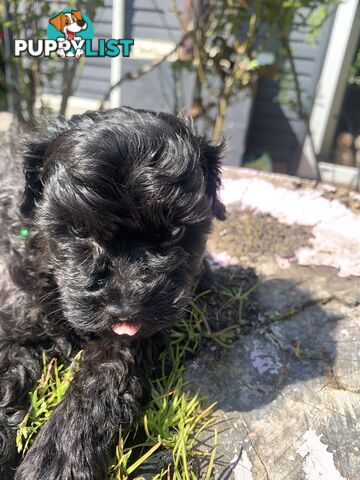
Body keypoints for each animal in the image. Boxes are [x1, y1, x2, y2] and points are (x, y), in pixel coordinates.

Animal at [0, 107, 224, 478]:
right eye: (79, 229)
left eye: (175, 231)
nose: (125, 308)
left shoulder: (129, 341)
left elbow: (100, 382)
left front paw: (56, 460)